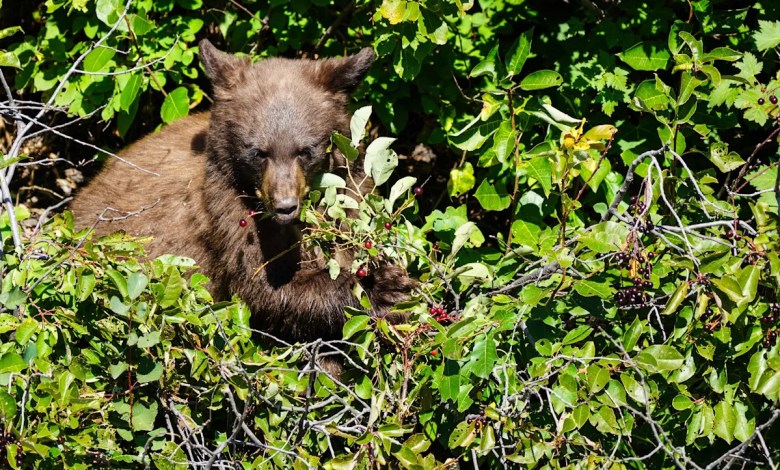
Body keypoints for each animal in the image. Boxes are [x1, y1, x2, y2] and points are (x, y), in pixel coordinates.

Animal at [71, 39, 413, 353]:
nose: (285, 206)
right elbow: (263, 287)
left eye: (305, 150)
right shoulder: (225, 210)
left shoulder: (348, 192)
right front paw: (381, 288)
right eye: (258, 152)